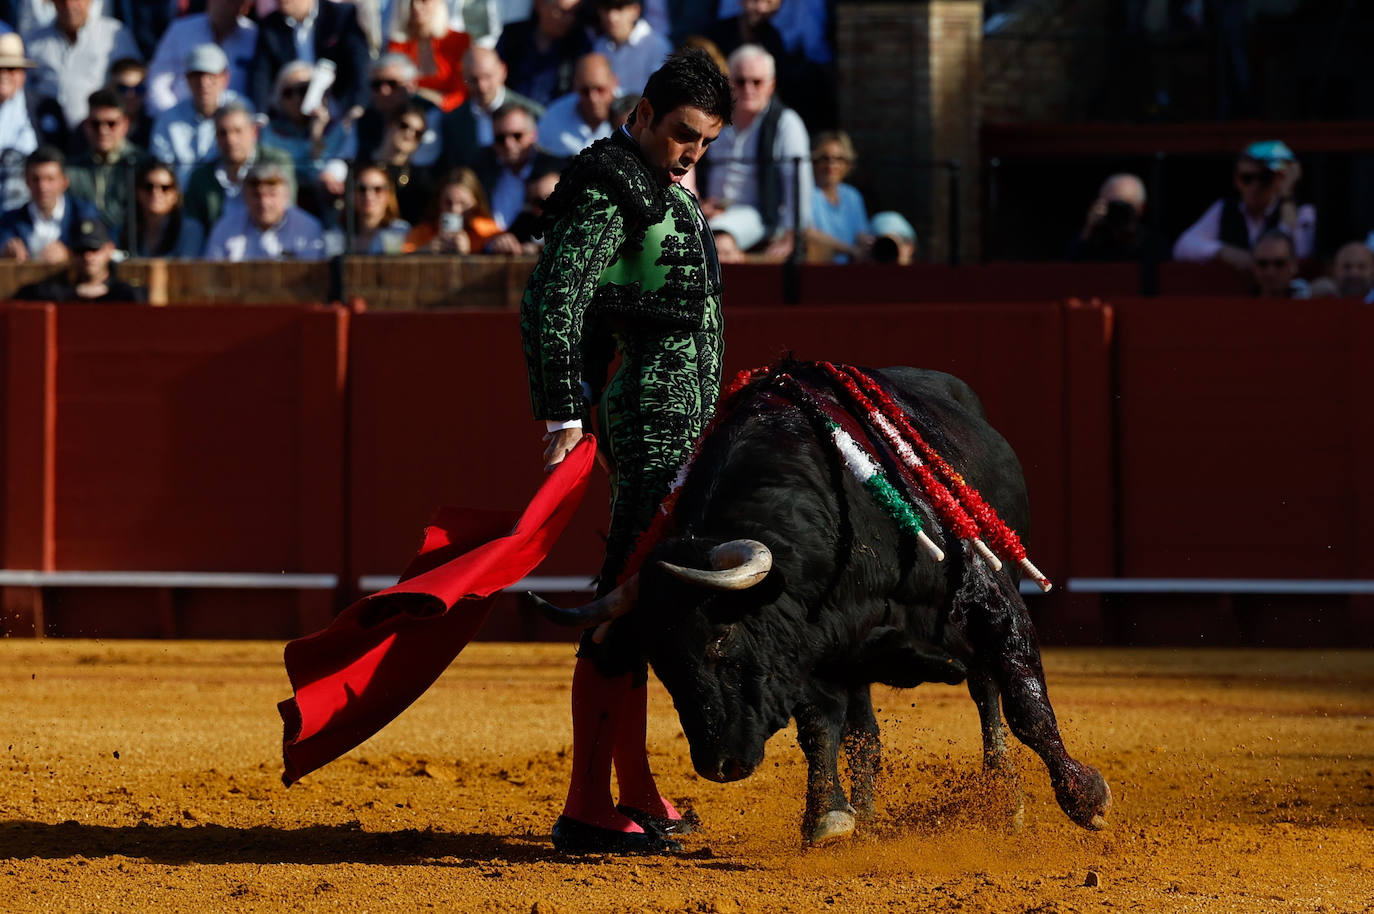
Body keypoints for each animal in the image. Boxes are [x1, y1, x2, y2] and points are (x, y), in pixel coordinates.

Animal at [530, 362, 1110, 841]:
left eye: (721, 637)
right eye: (661, 663)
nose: (719, 764)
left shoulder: (990, 604)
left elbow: (1025, 705)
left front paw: (1086, 798)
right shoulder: (811, 650)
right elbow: (821, 729)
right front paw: (829, 814)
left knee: (988, 697)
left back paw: (1003, 800)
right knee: (866, 734)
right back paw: (869, 815)